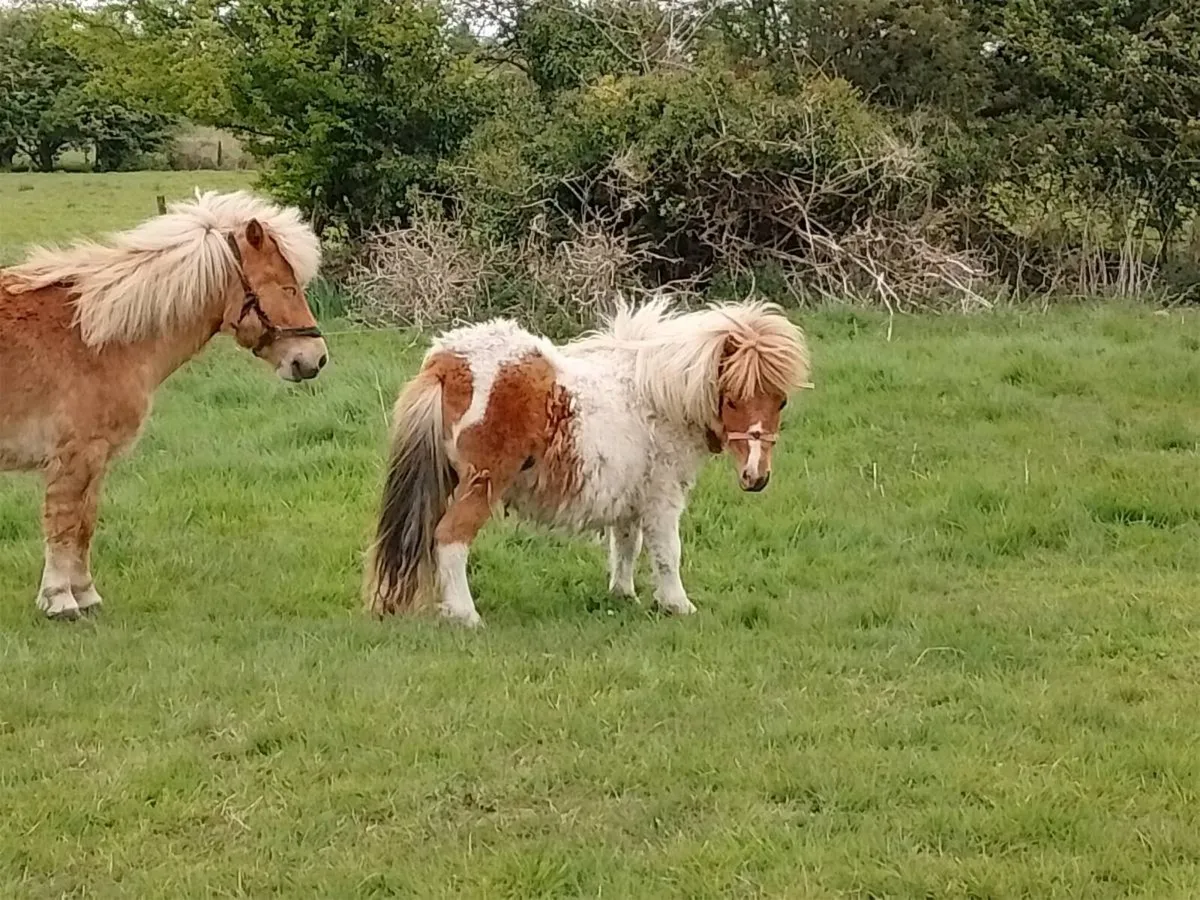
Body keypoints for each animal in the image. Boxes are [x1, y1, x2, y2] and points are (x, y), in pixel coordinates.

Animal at [0, 190, 327, 620]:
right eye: (287, 287)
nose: (315, 359)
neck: (94, 338)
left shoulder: (96, 461)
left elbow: (85, 524)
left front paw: (86, 595)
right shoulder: (75, 457)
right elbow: (63, 523)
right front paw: (60, 600)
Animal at [366, 296, 812, 626]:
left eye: (781, 401)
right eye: (732, 399)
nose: (756, 477)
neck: (659, 396)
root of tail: (446, 365)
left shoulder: (631, 497)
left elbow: (626, 545)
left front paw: (623, 594)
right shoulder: (663, 496)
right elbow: (668, 552)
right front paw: (677, 604)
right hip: (482, 485)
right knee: (450, 538)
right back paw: (467, 616)